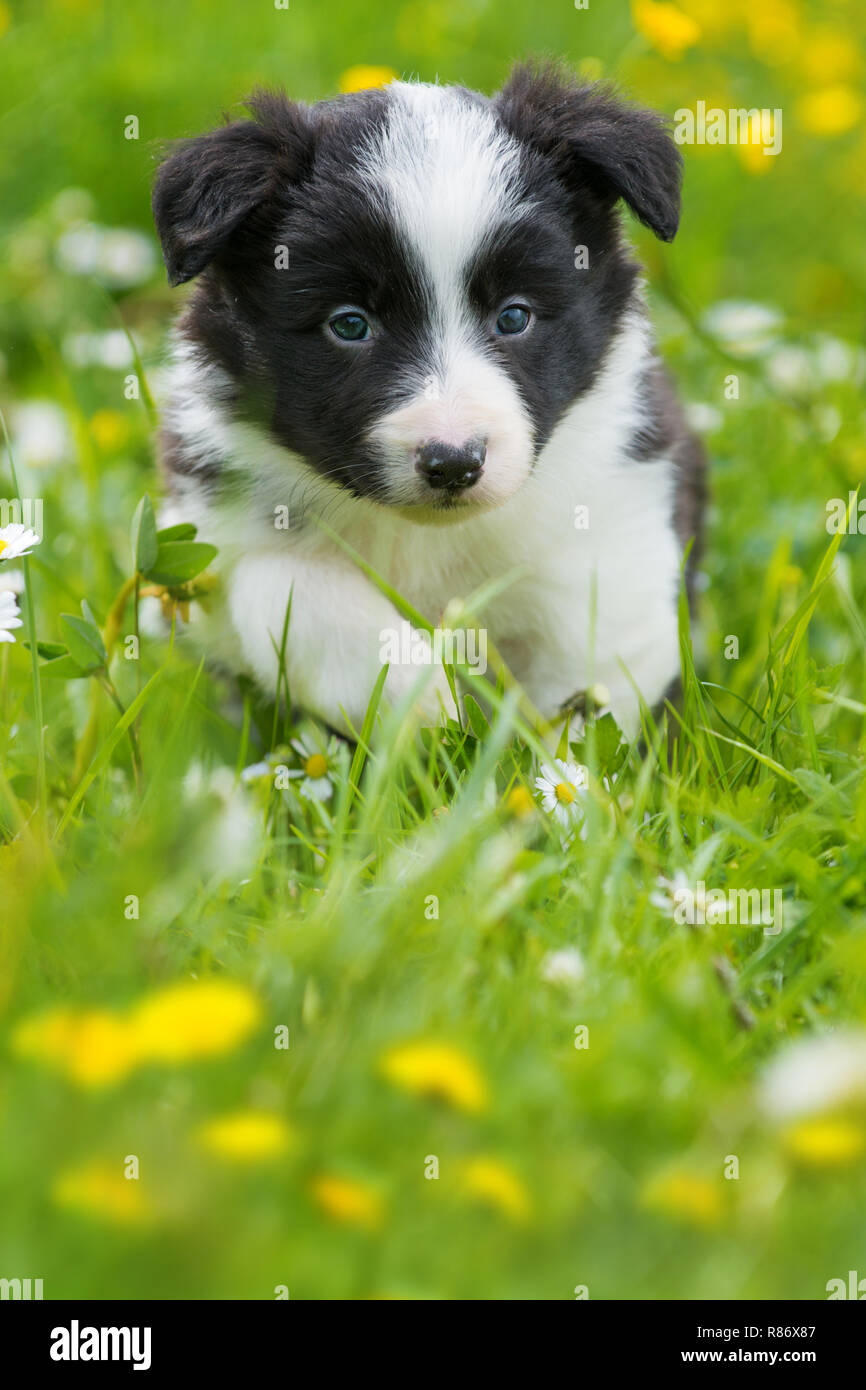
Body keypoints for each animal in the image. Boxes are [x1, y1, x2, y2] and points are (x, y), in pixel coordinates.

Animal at [154, 62, 706, 739]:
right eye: (350, 324)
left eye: (514, 316)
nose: (454, 464)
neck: (427, 535)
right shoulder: (208, 535)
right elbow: (281, 583)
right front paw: (418, 698)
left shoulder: (613, 527)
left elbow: (594, 678)